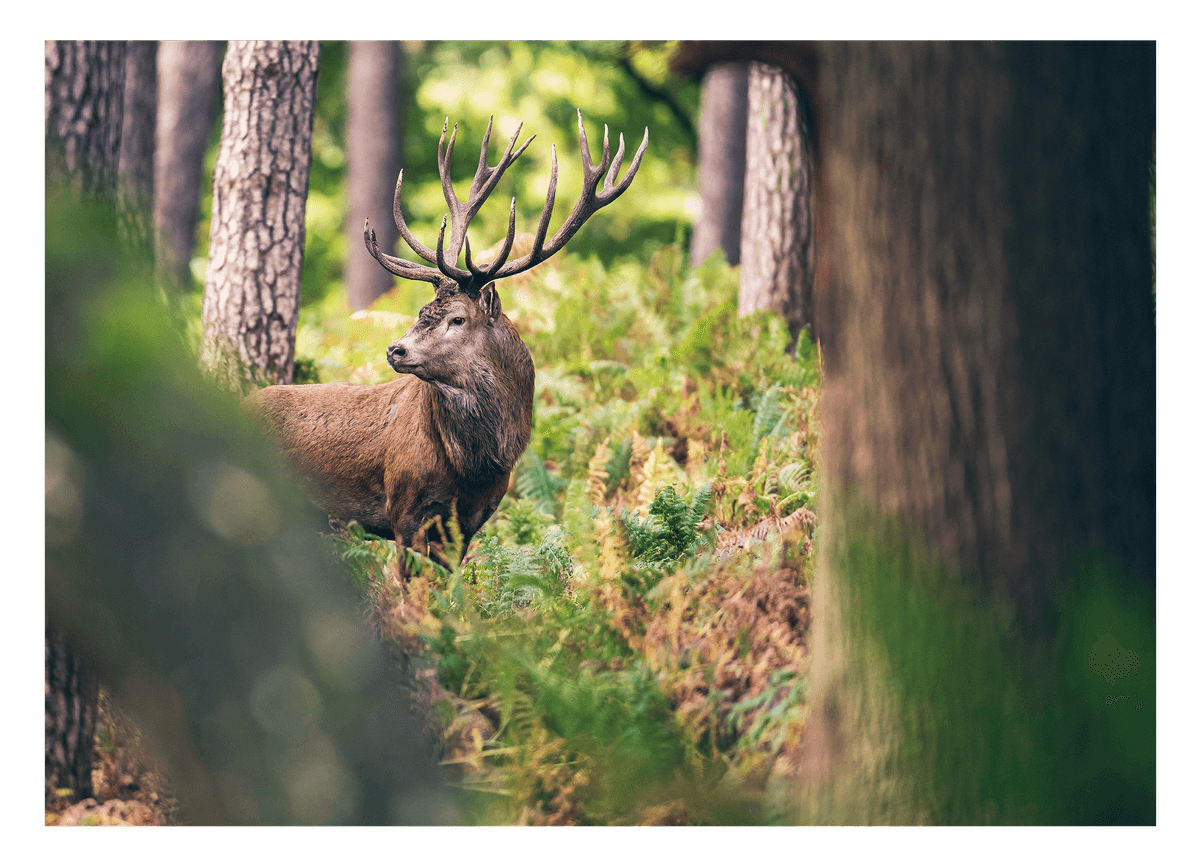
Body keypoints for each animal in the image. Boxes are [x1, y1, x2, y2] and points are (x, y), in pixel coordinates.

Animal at [246, 111, 648, 574]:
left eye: (457, 318)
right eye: (422, 310)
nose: (395, 349)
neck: (472, 469)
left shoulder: (471, 521)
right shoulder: (404, 510)